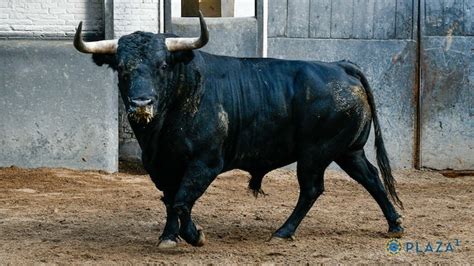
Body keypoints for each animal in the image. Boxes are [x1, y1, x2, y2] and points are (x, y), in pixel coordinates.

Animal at [73, 14, 404, 247]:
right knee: (371, 178)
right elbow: (170, 200)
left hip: (316, 154)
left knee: (312, 189)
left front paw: (195, 235)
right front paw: (168, 236)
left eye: (163, 65)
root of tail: (340, 65)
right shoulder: (161, 166)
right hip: (349, 151)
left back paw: (282, 232)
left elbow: (181, 201)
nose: (141, 102)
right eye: (121, 67)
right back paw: (395, 224)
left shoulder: (205, 162)